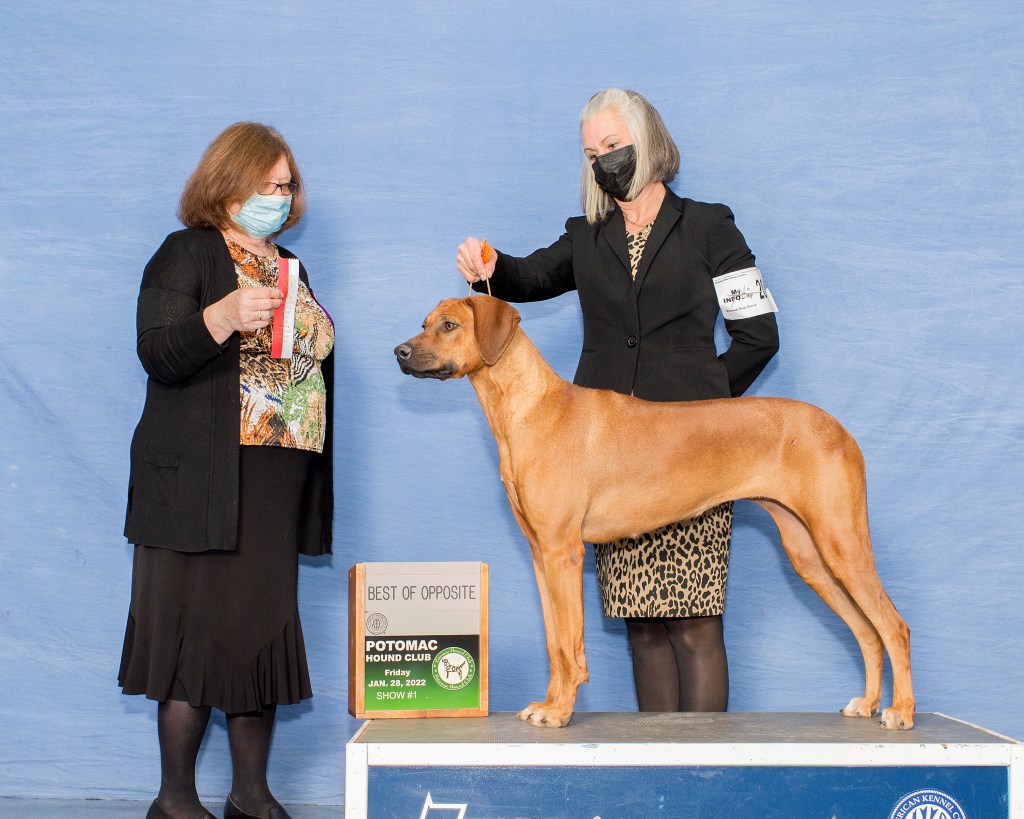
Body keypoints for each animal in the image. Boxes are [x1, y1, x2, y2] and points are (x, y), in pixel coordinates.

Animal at [395, 295, 914, 730]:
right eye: (423, 323)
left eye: (449, 325)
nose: (400, 351)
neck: (531, 408)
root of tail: (840, 430)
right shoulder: (541, 556)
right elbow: (553, 642)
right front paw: (548, 704)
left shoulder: (564, 553)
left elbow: (570, 642)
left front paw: (561, 712)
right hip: (808, 554)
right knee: (867, 631)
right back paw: (868, 703)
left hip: (841, 542)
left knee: (893, 625)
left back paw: (901, 711)